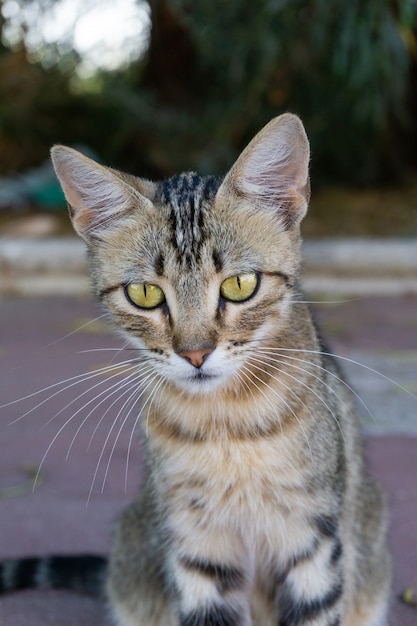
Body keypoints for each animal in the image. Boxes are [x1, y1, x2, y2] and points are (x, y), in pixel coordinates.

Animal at [0, 114, 390, 620]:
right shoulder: (197, 548)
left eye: (241, 285)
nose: (196, 353)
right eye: (144, 293)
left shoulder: (313, 541)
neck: (226, 427)